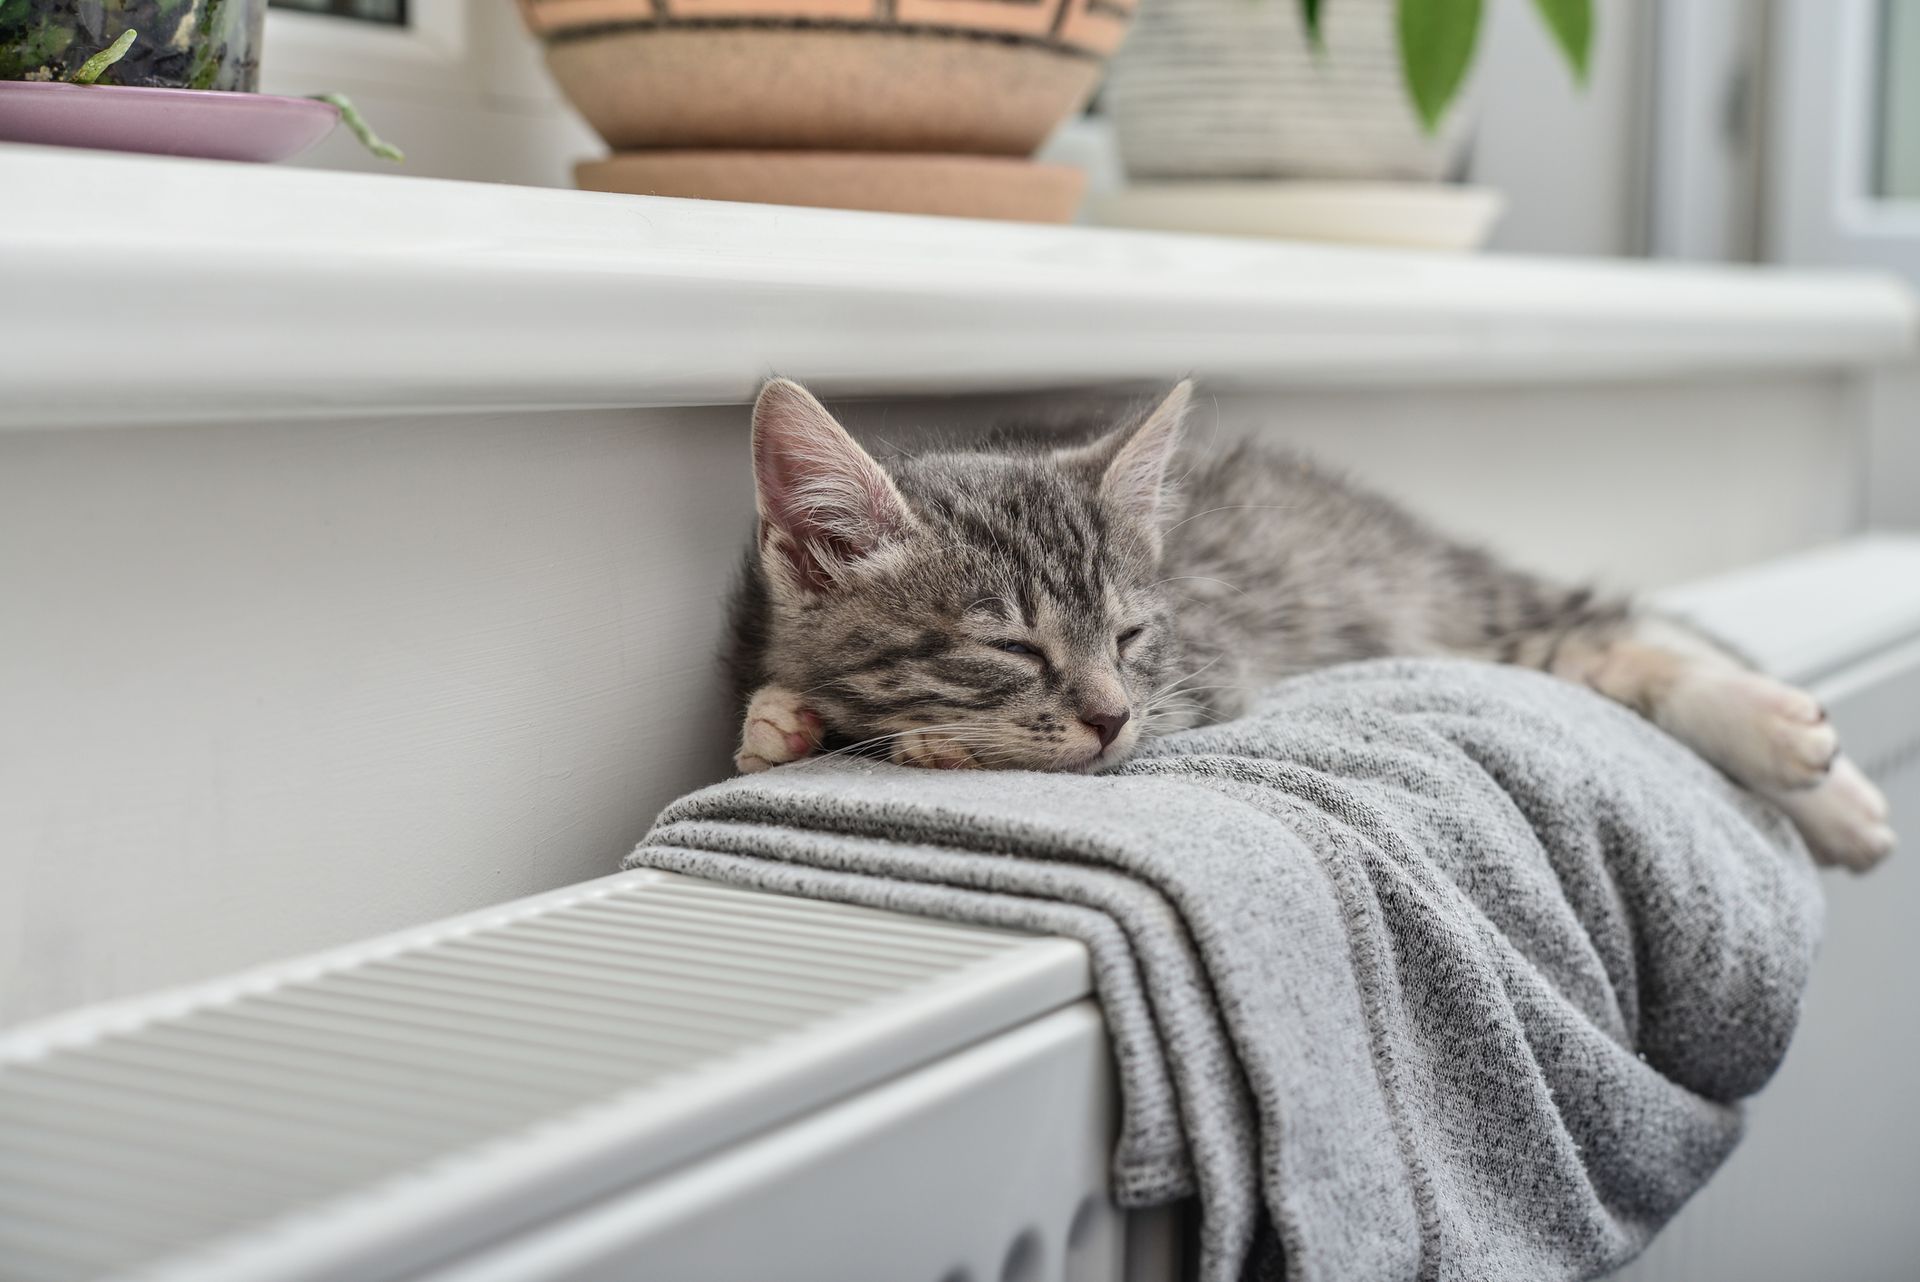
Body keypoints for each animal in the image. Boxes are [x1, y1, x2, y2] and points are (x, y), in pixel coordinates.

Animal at [725, 372, 1896, 871]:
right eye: (1009, 647)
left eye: (1130, 639)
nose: (1108, 717)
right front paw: (785, 719)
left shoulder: (1206, 671)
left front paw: (929, 743)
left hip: (1436, 601)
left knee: (1610, 631)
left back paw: (1804, 755)